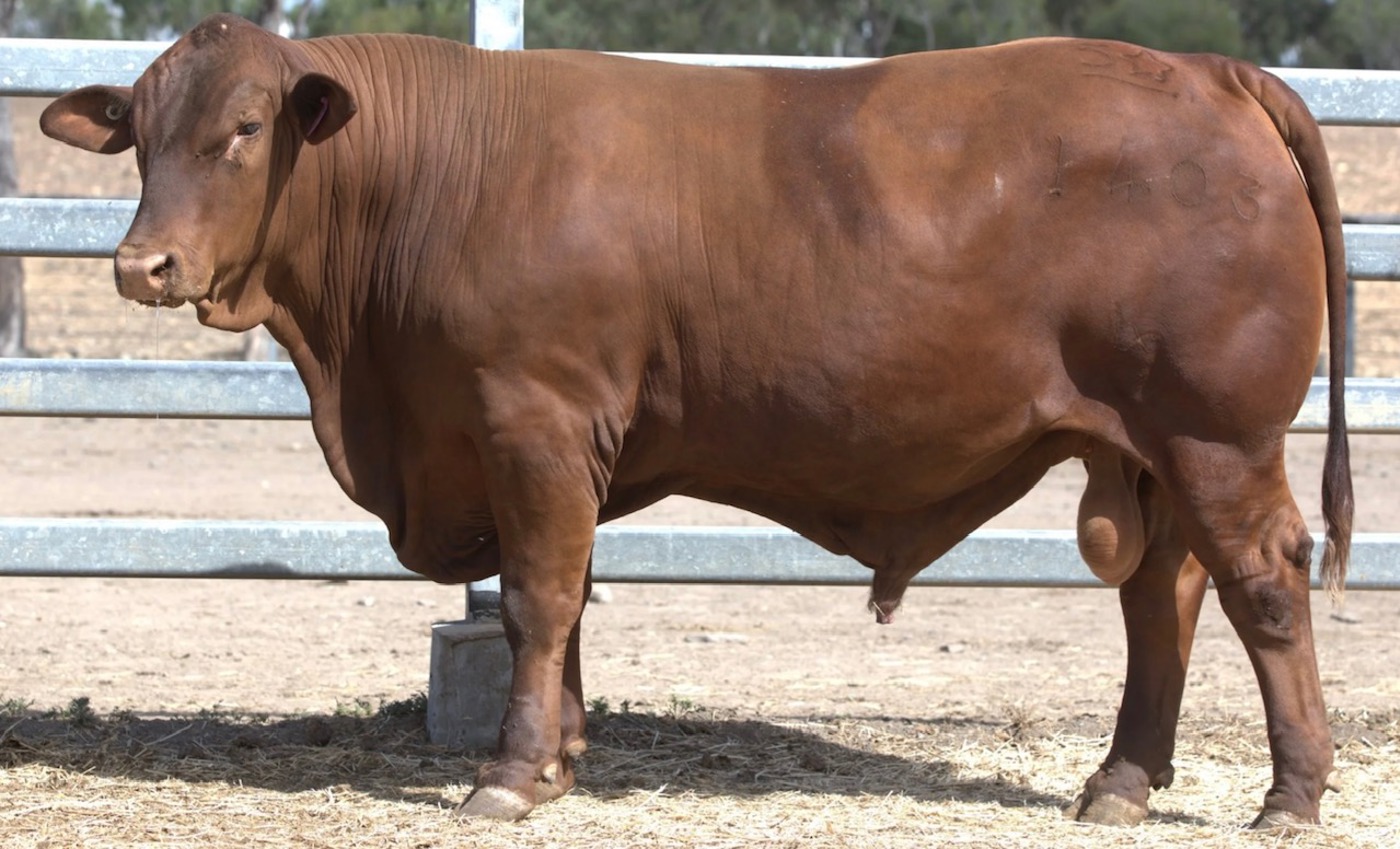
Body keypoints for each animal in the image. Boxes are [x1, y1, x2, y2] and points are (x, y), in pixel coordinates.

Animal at [40, 14, 1352, 828]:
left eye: (245, 128)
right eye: (140, 134)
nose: (143, 266)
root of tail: (1209, 71)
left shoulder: (533, 421)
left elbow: (537, 600)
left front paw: (507, 776)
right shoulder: (544, 450)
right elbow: (563, 607)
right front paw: (559, 761)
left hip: (1216, 436)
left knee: (1261, 583)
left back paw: (1288, 796)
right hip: (1149, 452)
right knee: (1161, 598)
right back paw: (1119, 783)